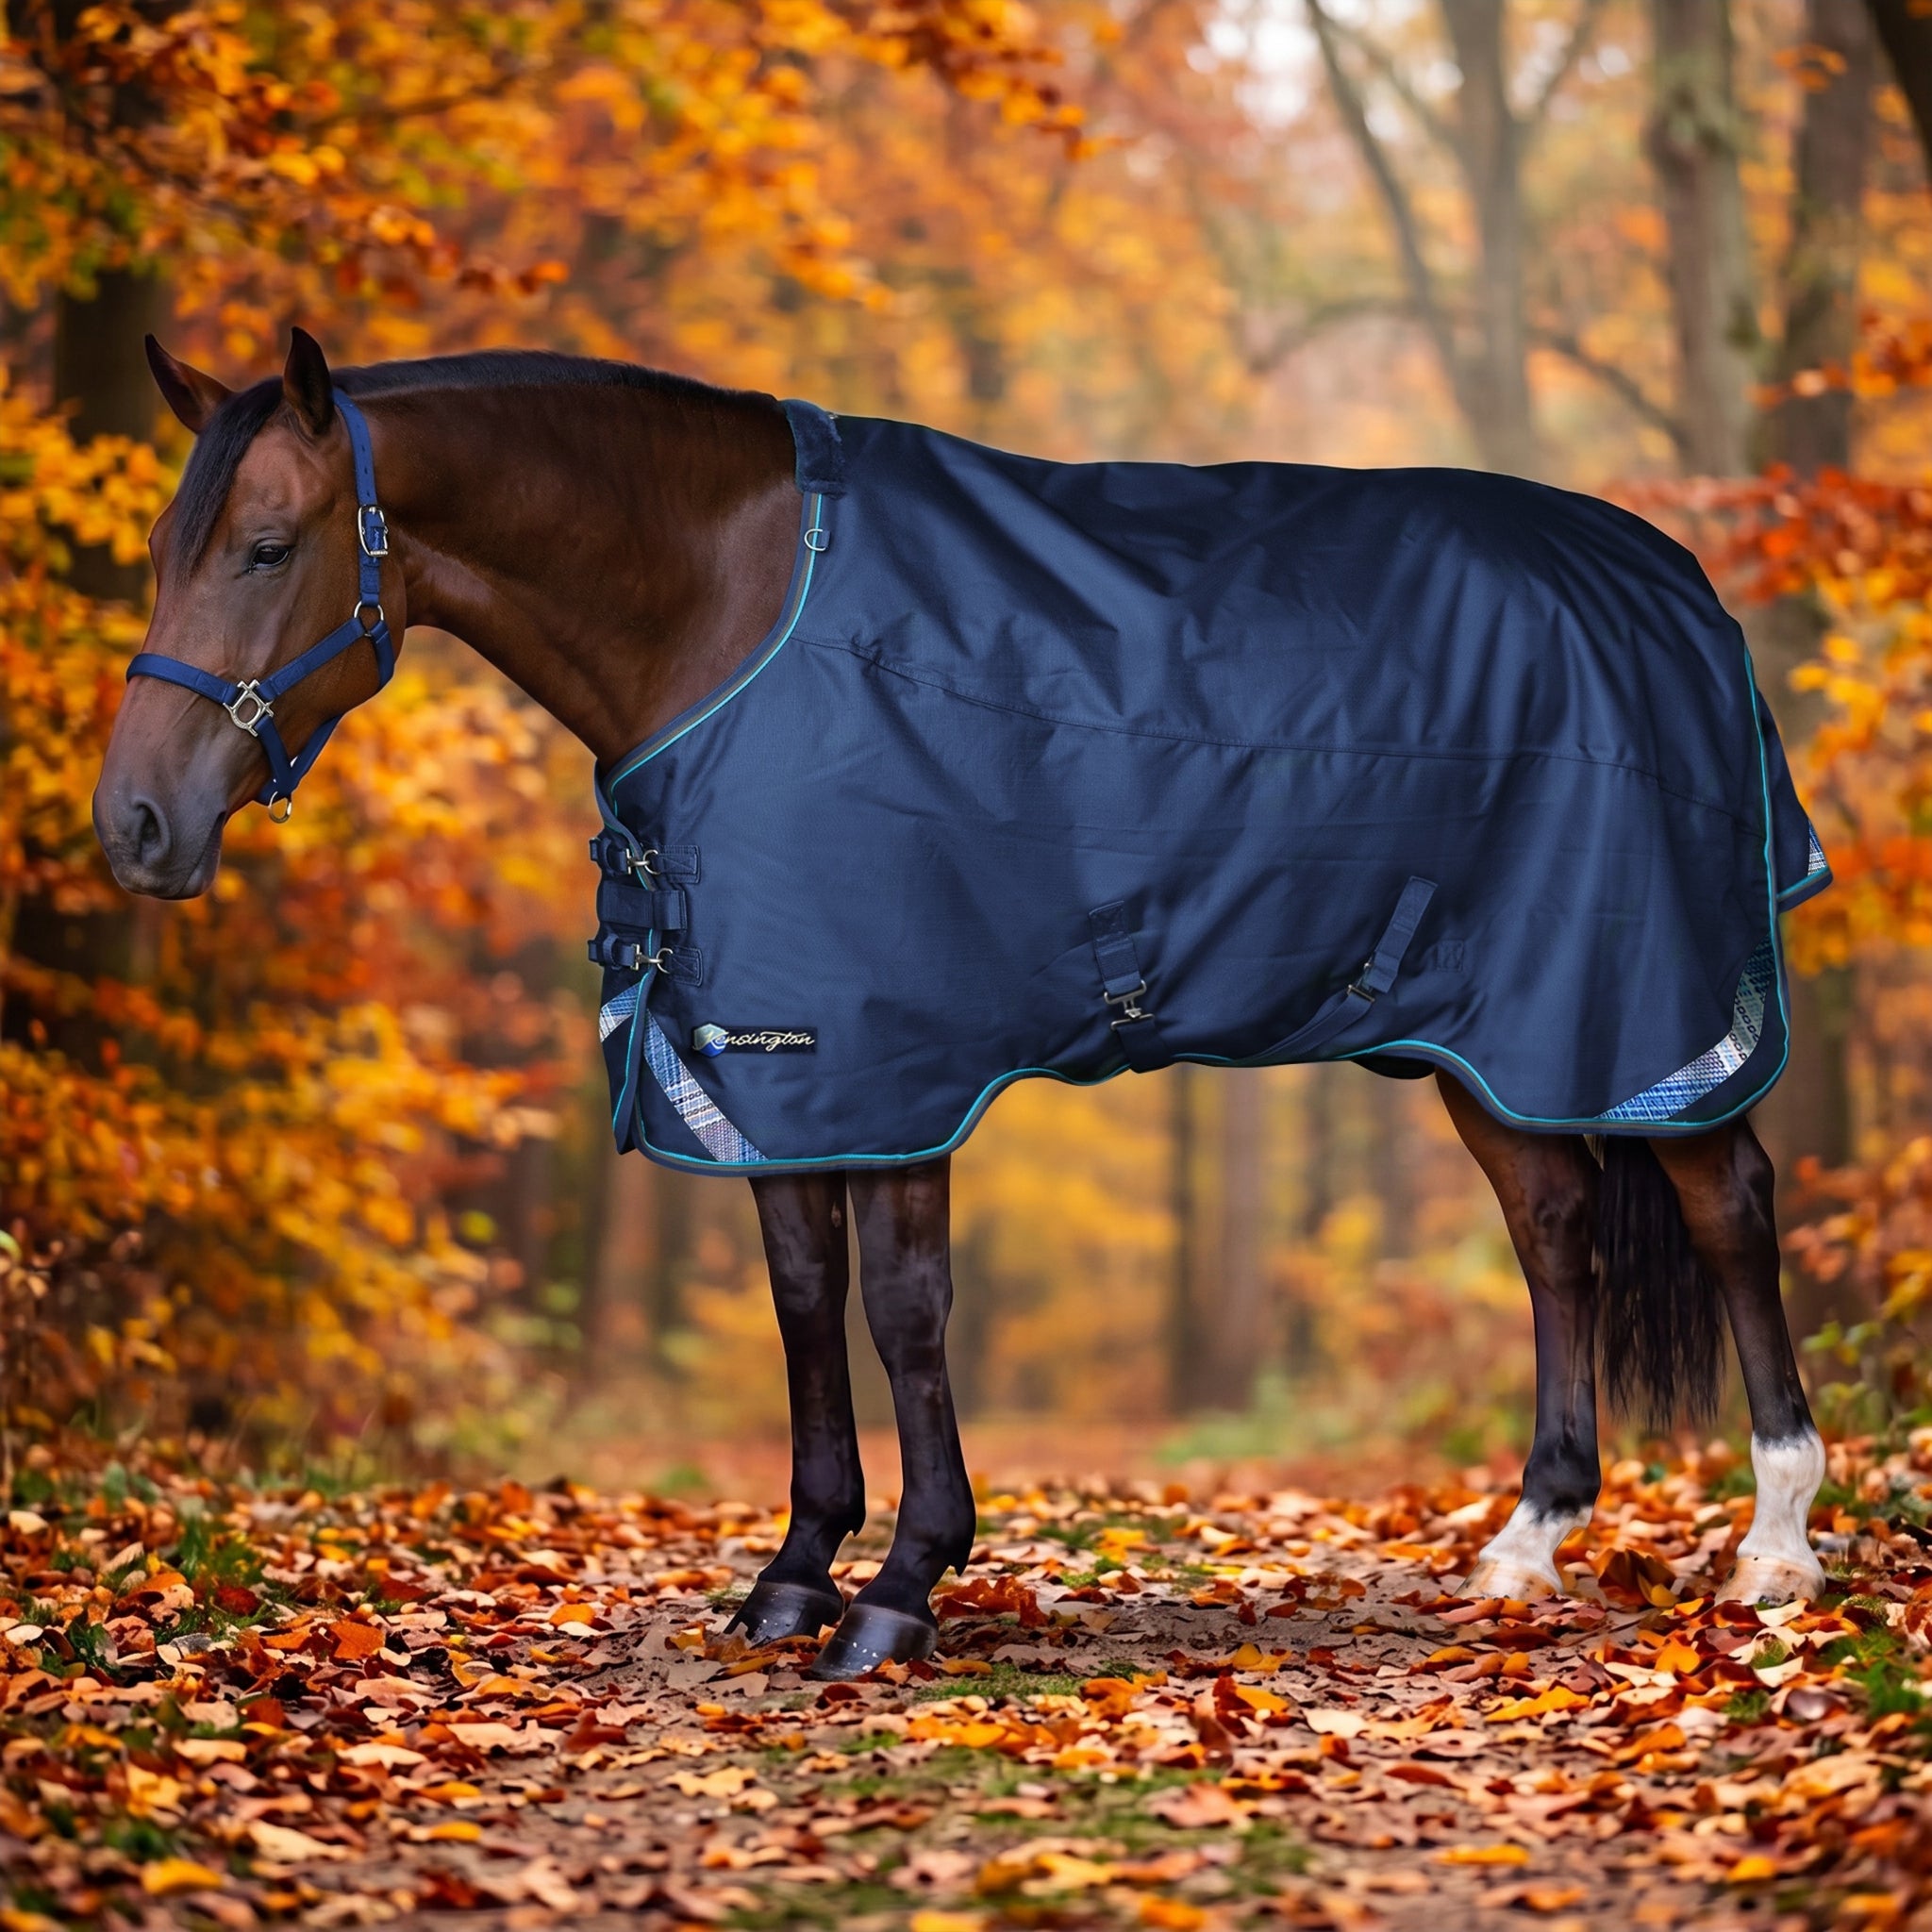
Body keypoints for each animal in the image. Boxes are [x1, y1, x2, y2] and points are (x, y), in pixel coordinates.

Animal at [94, 330, 1830, 1680]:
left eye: (266, 546)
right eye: (169, 549)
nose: (134, 828)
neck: (731, 608)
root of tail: (1674, 581)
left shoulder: (894, 1054)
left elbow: (904, 1310)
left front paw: (903, 1588)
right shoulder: (770, 1060)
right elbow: (805, 1302)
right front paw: (794, 1575)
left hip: (1643, 1005)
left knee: (1728, 1205)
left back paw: (1775, 1548)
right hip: (1494, 1031)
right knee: (1555, 1223)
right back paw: (1525, 1547)